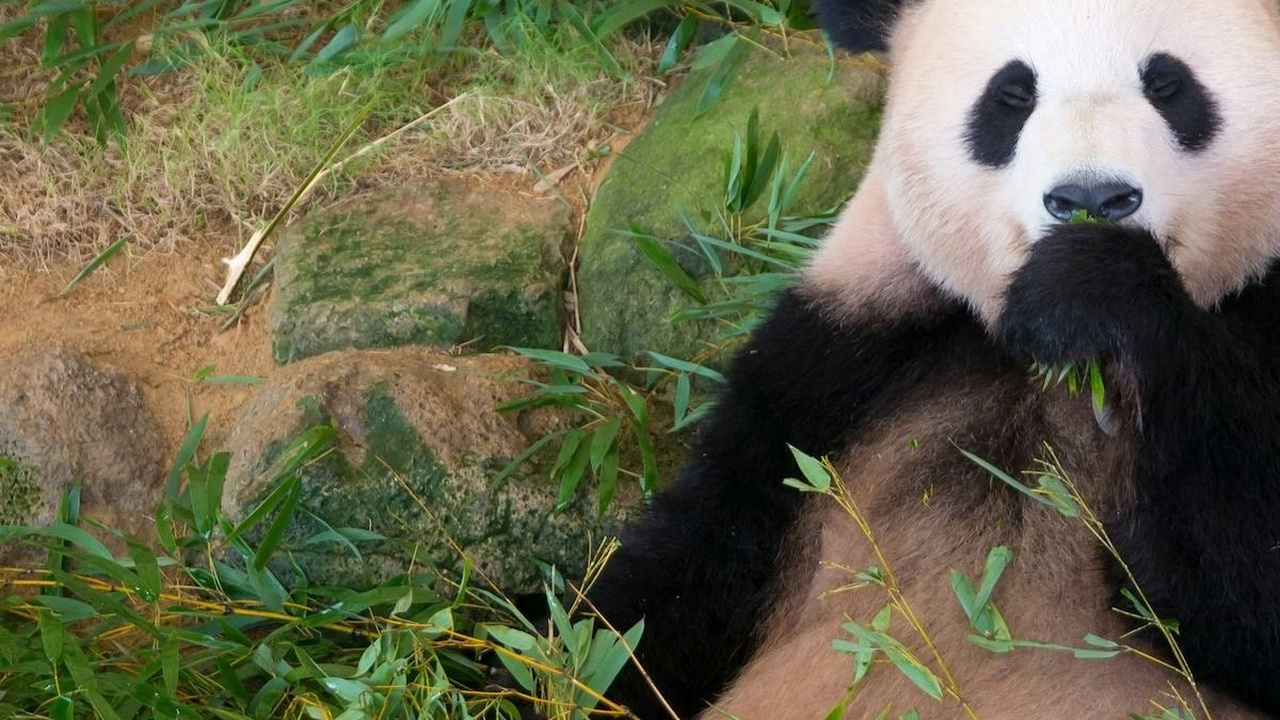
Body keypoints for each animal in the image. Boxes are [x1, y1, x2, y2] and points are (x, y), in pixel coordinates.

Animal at [578, 0, 1280, 718]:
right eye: (1011, 95)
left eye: (1168, 85)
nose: (1091, 200)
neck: (1044, 361)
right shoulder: (833, 369)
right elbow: (682, 577)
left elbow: (1243, 589)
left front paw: (1093, 287)